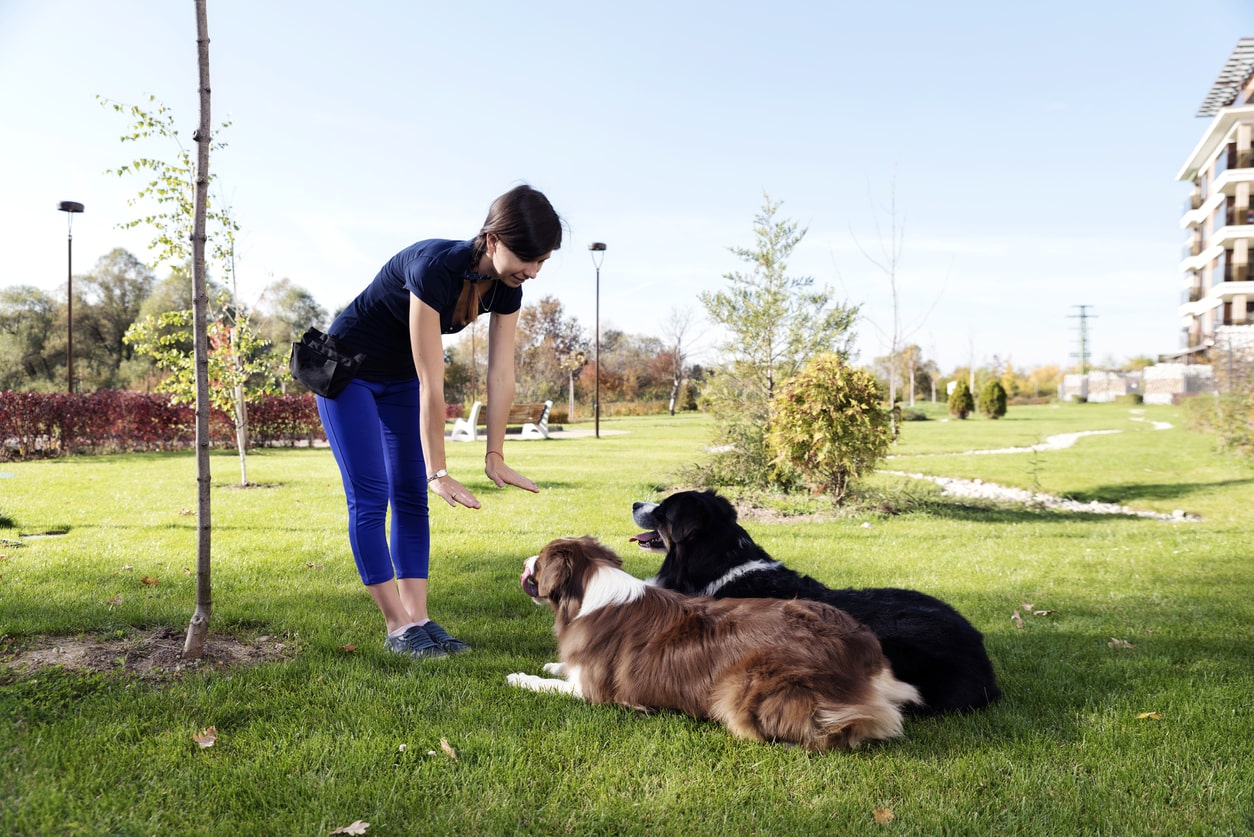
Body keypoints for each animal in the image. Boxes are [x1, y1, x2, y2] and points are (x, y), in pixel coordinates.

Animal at [509, 537, 922, 752]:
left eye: (539, 561)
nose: (524, 560)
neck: (589, 591)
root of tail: (863, 653)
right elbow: (560, 669)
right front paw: (552, 664)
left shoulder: (592, 692)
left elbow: (548, 684)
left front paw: (520, 678)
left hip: (745, 688)